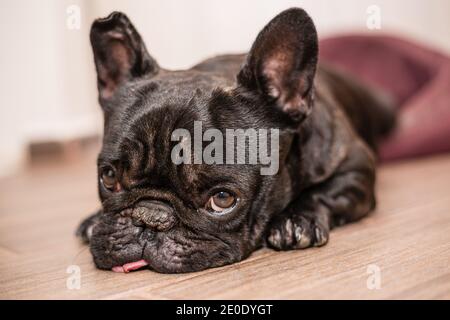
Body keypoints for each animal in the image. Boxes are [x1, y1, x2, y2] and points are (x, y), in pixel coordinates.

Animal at [77, 7, 394, 272]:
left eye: (222, 199)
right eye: (108, 178)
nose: (149, 217)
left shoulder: (356, 166)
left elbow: (325, 191)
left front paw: (296, 219)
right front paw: (93, 220)